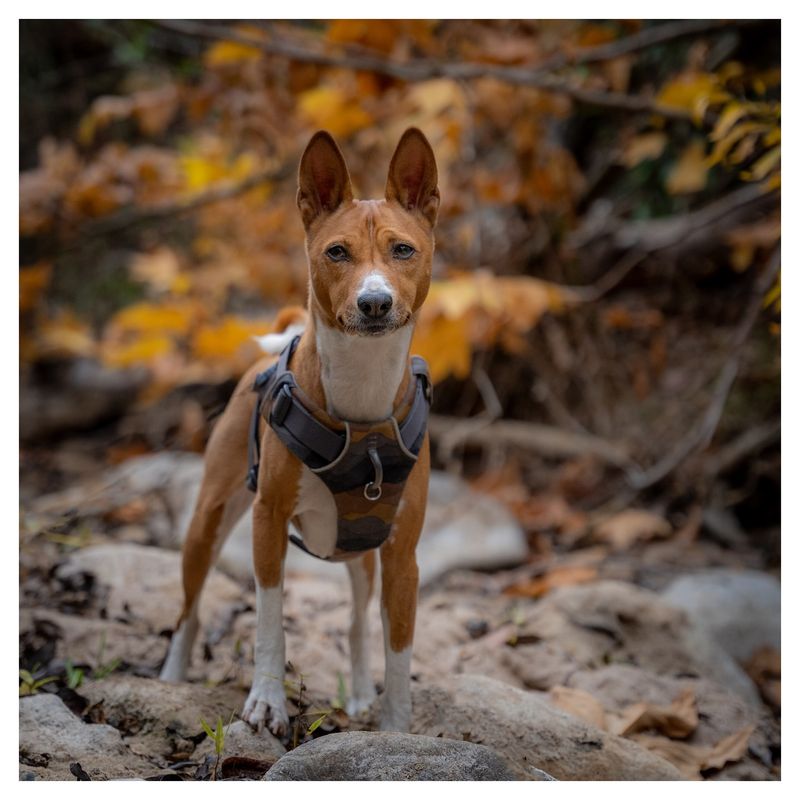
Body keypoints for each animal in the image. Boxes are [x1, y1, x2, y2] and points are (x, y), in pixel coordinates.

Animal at [160, 128, 440, 736]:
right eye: (337, 252)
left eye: (403, 250)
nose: (375, 302)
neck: (361, 402)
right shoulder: (267, 521)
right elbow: (270, 622)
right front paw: (267, 700)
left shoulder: (403, 554)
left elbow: (399, 649)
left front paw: (395, 729)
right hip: (207, 521)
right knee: (189, 611)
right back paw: (170, 677)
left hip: (360, 553)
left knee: (357, 623)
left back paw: (359, 694)